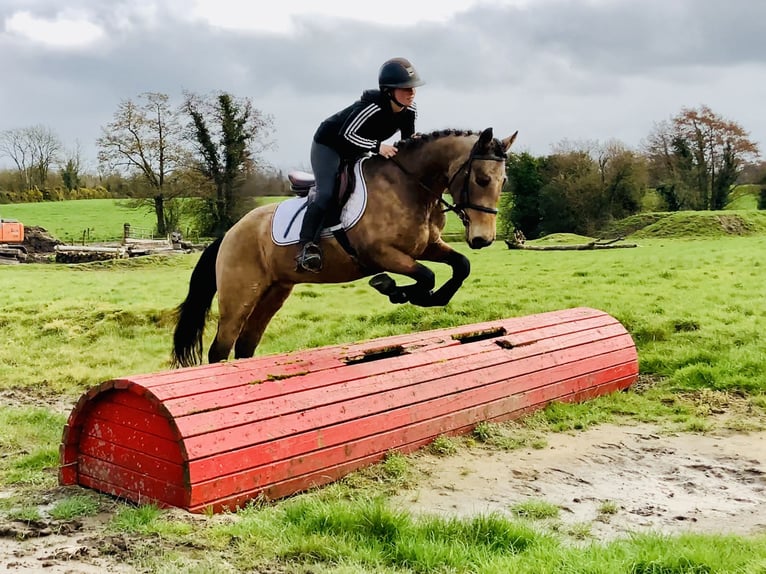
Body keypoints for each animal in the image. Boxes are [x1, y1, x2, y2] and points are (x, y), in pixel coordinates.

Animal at [171, 127, 518, 368]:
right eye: (482, 179)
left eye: (503, 181)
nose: (483, 239)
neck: (409, 186)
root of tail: (230, 233)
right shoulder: (381, 254)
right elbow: (426, 276)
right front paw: (394, 288)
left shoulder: (427, 247)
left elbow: (460, 266)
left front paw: (428, 296)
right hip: (240, 295)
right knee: (221, 347)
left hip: (274, 291)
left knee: (246, 344)